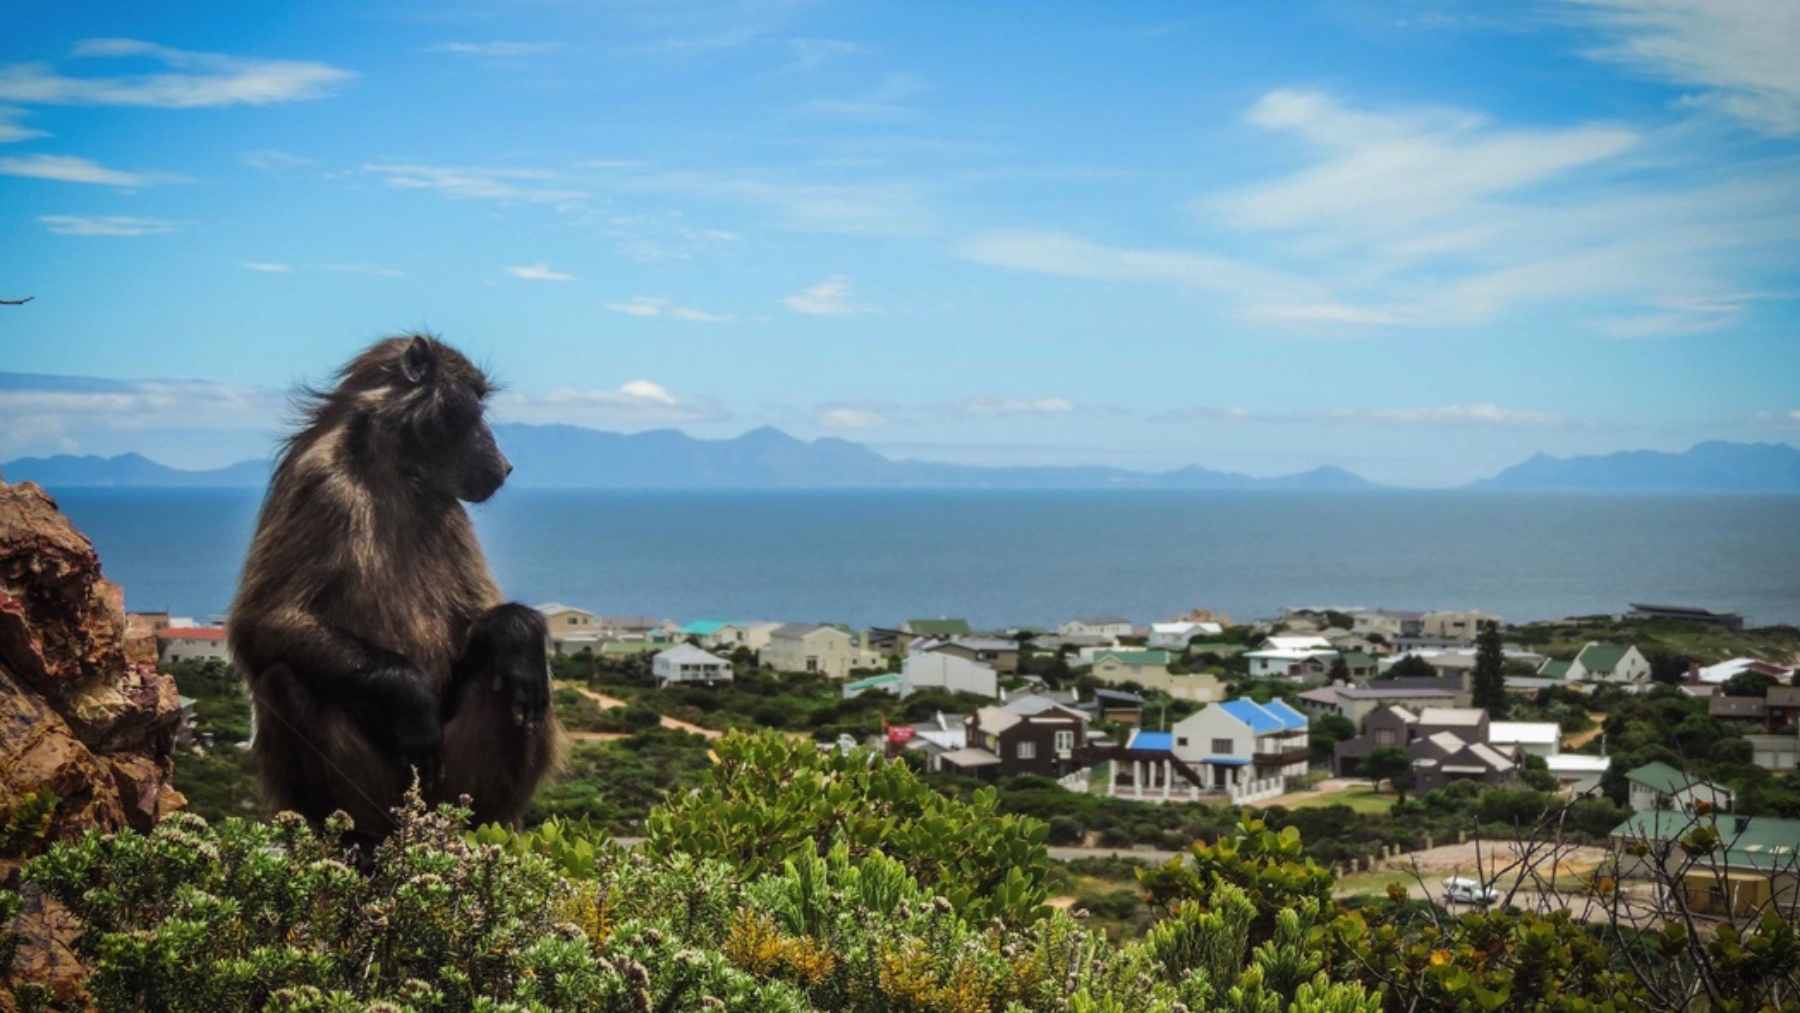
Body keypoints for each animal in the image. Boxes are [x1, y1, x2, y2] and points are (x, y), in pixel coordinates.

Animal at [227, 334, 561, 844]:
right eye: (476, 403)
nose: (505, 466)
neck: (393, 469)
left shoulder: (449, 508)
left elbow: (478, 622)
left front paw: (516, 628)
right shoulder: (317, 481)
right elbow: (263, 621)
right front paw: (411, 698)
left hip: (453, 789)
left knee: (516, 677)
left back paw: (483, 830)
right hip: (388, 795)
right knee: (284, 680)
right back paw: (358, 840)